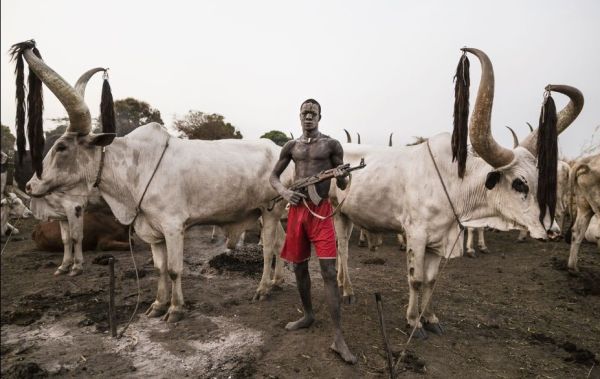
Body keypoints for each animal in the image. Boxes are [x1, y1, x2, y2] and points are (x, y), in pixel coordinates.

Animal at [14, 40, 292, 324]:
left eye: (61, 147)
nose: (30, 186)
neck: (136, 168)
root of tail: (278, 149)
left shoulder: (173, 227)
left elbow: (174, 269)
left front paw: (175, 309)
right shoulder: (153, 232)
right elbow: (160, 268)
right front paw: (158, 305)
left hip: (271, 211)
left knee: (268, 247)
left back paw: (263, 288)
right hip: (267, 212)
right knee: (280, 242)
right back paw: (277, 281)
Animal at [328, 48, 580, 338]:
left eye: (541, 180)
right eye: (519, 183)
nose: (553, 230)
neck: (452, 183)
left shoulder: (441, 239)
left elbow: (431, 280)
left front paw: (430, 318)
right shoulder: (416, 234)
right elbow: (416, 279)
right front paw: (413, 321)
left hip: (349, 214)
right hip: (337, 213)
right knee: (343, 249)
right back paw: (347, 291)